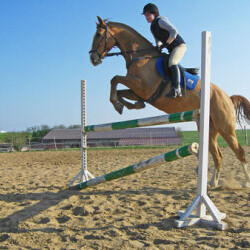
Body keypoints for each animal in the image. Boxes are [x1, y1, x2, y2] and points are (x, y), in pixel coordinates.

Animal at [89, 16, 249, 188]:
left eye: (98, 35)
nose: (93, 58)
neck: (140, 57)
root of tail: (228, 98)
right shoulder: (138, 90)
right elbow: (120, 89)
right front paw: (126, 105)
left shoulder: (143, 86)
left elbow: (115, 79)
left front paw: (119, 104)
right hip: (209, 129)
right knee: (217, 155)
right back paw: (213, 182)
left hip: (225, 128)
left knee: (239, 152)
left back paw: (245, 182)